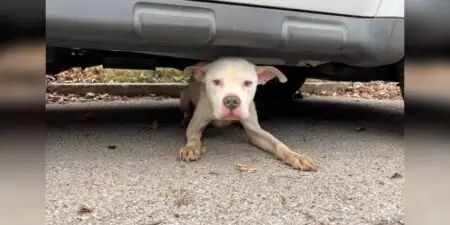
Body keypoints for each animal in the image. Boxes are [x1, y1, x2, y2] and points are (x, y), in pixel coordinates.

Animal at [178, 57, 314, 171]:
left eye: (248, 83)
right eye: (216, 81)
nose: (232, 101)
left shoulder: (255, 131)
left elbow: (276, 142)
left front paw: (296, 155)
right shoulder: (195, 125)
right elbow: (194, 137)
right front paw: (191, 148)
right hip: (184, 96)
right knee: (187, 109)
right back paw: (186, 118)